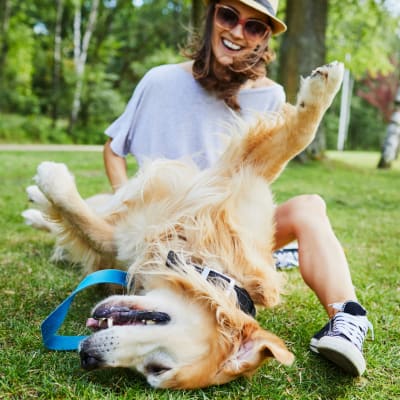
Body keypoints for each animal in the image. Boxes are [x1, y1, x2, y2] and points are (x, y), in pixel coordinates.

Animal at [24, 61, 344, 388]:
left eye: (155, 369)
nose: (88, 357)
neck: (200, 257)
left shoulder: (119, 243)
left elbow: (86, 226)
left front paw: (52, 182)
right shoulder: (239, 177)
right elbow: (297, 138)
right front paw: (324, 86)